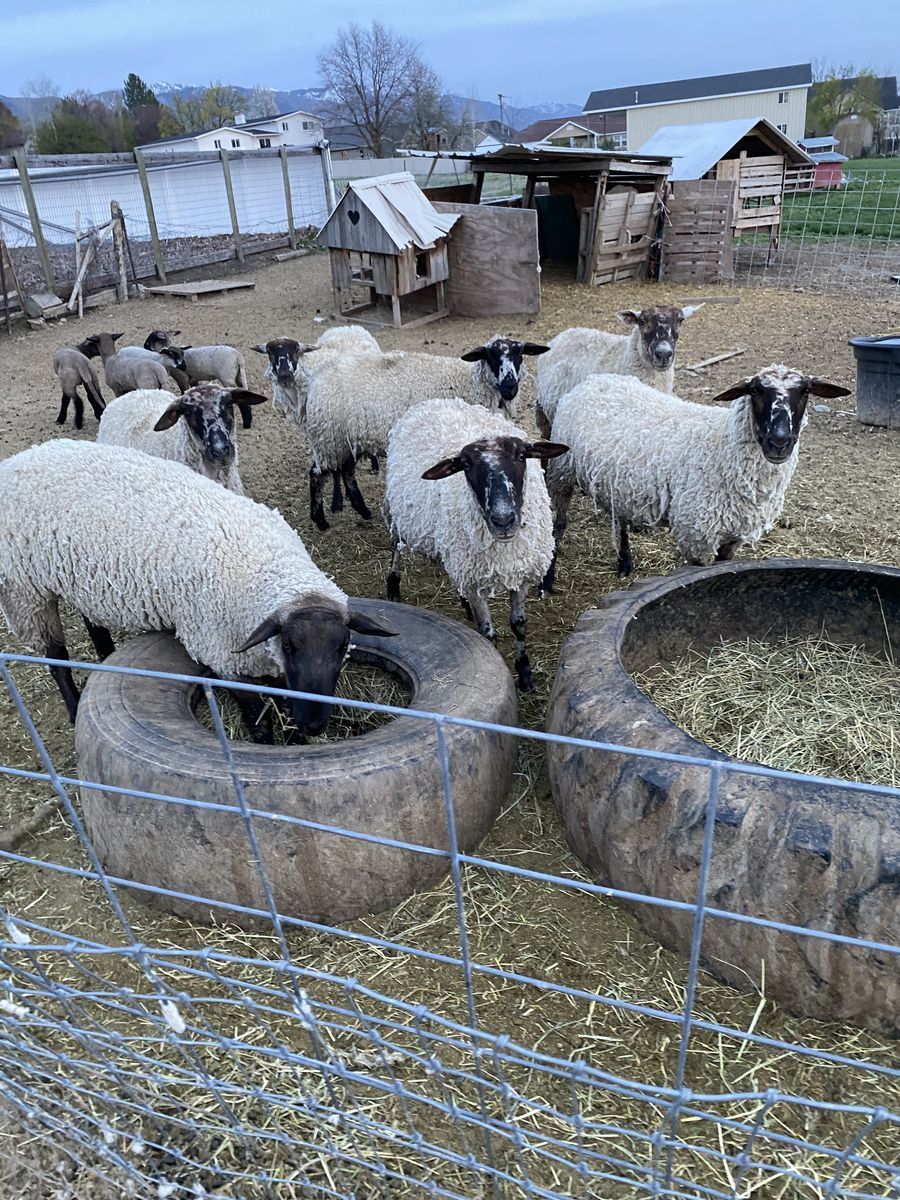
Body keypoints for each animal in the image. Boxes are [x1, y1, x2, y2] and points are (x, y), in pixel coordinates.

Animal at [0, 439, 395, 739]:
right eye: (289, 645)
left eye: (343, 647)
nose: (314, 725)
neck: (266, 565)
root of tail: (23, 456)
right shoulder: (218, 651)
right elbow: (258, 719)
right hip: (24, 590)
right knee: (55, 658)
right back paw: (72, 705)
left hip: (79, 576)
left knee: (91, 621)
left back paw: (105, 655)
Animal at [304, 336, 550, 531]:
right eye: (491, 355)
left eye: (519, 354)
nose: (510, 386)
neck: (472, 383)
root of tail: (318, 376)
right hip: (329, 439)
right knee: (316, 474)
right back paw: (320, 520)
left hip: (346, 441)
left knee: (346, 472)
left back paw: (363, 511)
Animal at [384, 396, 567, 692]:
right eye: (466, 466)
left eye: (522, 456)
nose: (503, 519)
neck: (503, 549)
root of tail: (436, 400)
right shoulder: (475, 582)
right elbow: (487, 633)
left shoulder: (520, 575)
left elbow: (519, 624)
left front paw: (526, 675)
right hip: (398, 513)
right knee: (396, 547)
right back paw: (393, 585)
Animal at [542, 366, 851, 589]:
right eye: (755, 390)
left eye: (806, 390)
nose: (779, 441)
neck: (721, 445)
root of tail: (595, 379)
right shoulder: (696, 532)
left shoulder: (733, 536)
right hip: (561, 471)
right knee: (558, 526)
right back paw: (547, 582)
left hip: (619, 482)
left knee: (620, 517)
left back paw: (625, 564)